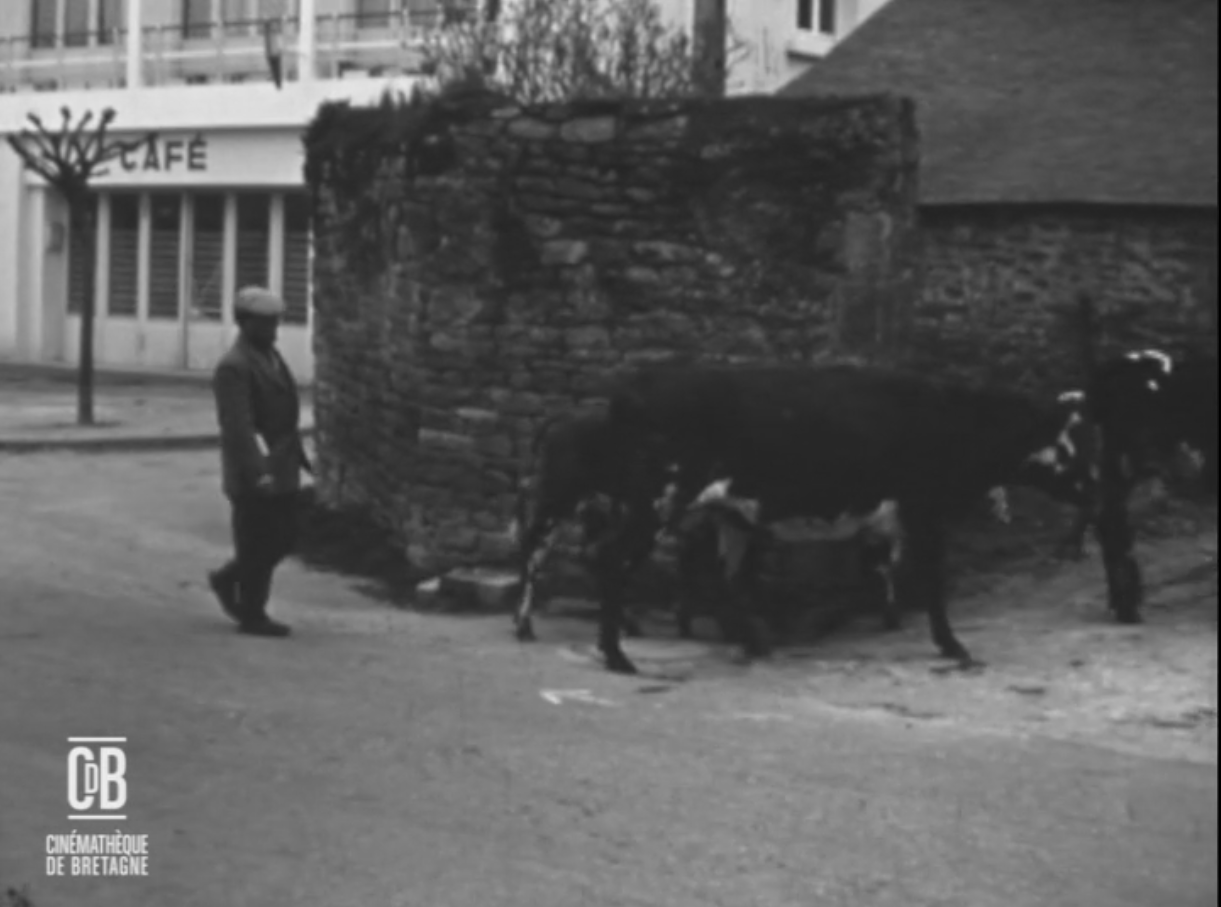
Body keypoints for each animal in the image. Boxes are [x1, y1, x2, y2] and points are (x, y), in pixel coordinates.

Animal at [576, 361, 1094, 673]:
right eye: (1072, 444)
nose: (1094, 486)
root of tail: (634, 388)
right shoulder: (924, 508)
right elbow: (933, 582)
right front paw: (952, 645)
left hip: (724, 514)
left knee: (721, 577)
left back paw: (750, 643)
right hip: (658, 499)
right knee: (611, 558)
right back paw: (617, 654)